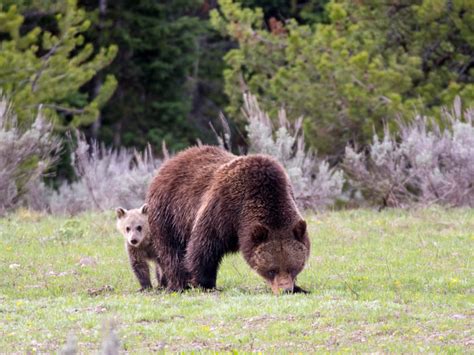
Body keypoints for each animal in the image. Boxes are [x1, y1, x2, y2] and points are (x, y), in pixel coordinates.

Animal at [148, 145, 312, 294]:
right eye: (272, 270)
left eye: (293, 268)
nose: (286, 290)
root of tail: (171, 161)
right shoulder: (222, 209)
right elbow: (204, 248)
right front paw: (205, 284)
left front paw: (300, 288)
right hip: (170, 213)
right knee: (171, 251)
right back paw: (179, 284)